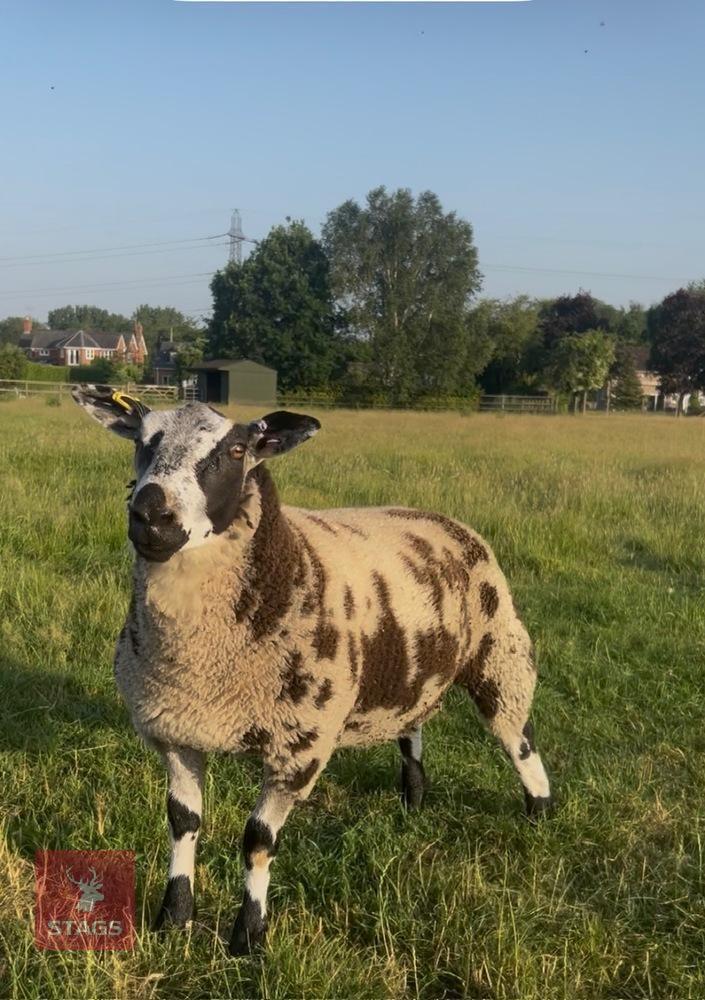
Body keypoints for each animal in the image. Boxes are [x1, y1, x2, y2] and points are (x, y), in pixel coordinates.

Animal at [72, 385, 552, 956]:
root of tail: (443, 520)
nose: (151, 515)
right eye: (142, 442)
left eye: (237, 451)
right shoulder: (175, 732)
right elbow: (182, 822)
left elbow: (258, 841)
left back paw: (539, 814)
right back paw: (412, 803)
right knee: (412, 730)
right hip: (412, 673)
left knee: (519, 740)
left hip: (500, 654)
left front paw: (248, 937)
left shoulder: (298, 746)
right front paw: (173, 919)